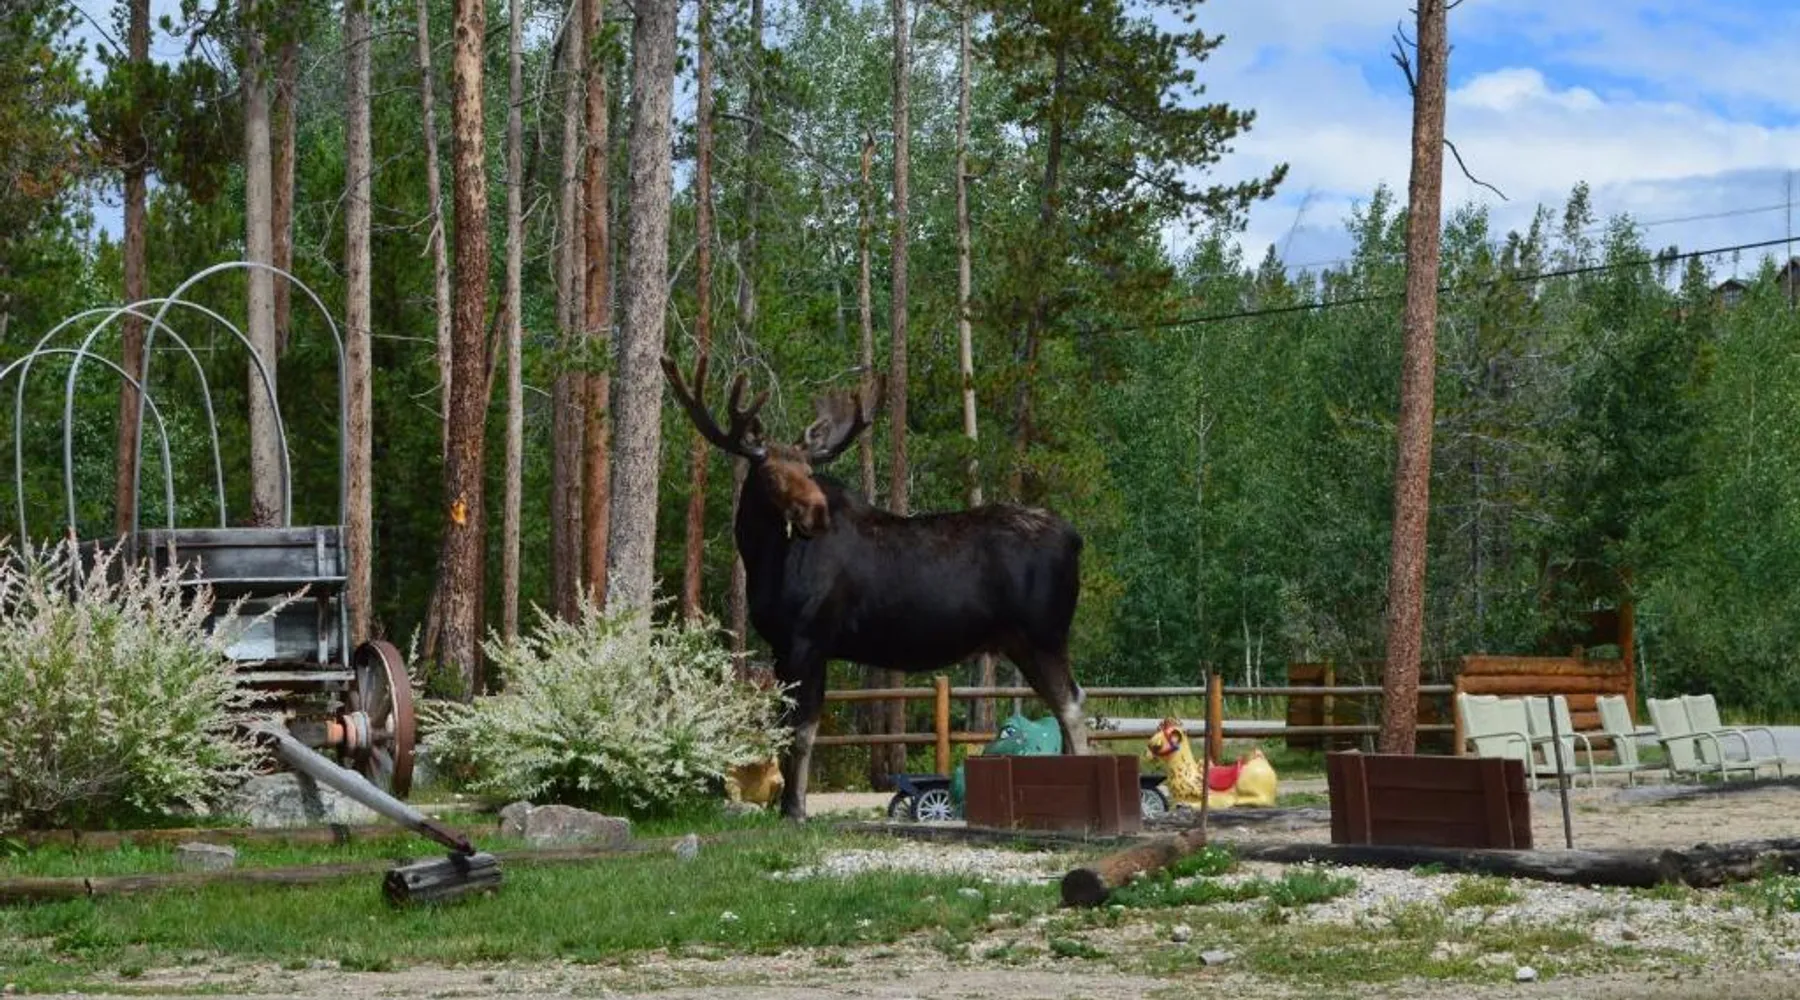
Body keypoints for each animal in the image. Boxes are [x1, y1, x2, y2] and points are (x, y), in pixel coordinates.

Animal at [662, 353, 1090, 821]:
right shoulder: (779, 646)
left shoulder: (809, 640)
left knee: (1072, 704)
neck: (761, 558)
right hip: (1020, 642)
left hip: (1044, 635)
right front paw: (785, 806)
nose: (816, 512)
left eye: (809, 470)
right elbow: (784, 728)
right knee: (1065, 703)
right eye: (771, 475)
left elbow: (803, 730)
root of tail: (1075, 539)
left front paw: (795, 809)